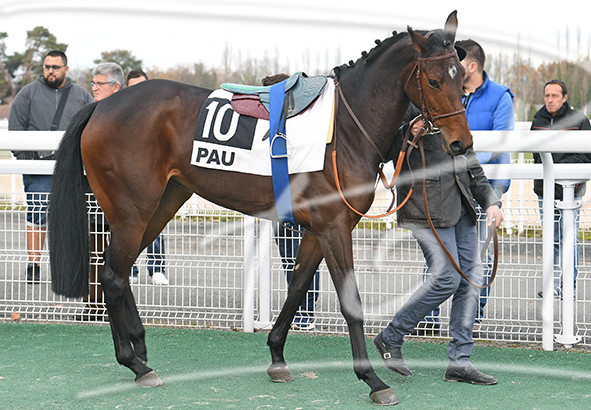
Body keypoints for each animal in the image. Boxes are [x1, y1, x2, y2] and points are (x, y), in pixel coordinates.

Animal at [49, 11, 471, 406]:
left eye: (461, 81)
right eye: (435, 81)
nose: (461, 144)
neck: (346, 131)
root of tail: (102, 107)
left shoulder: (317, 229)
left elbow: (297, 287)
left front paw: (277, 356)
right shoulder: (334, 226)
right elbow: (350, 303)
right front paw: (373, 381)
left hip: (161, 204)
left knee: (117, 271)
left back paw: (139, 349)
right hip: (131, 210)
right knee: (113, 275)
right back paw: (134, 363)